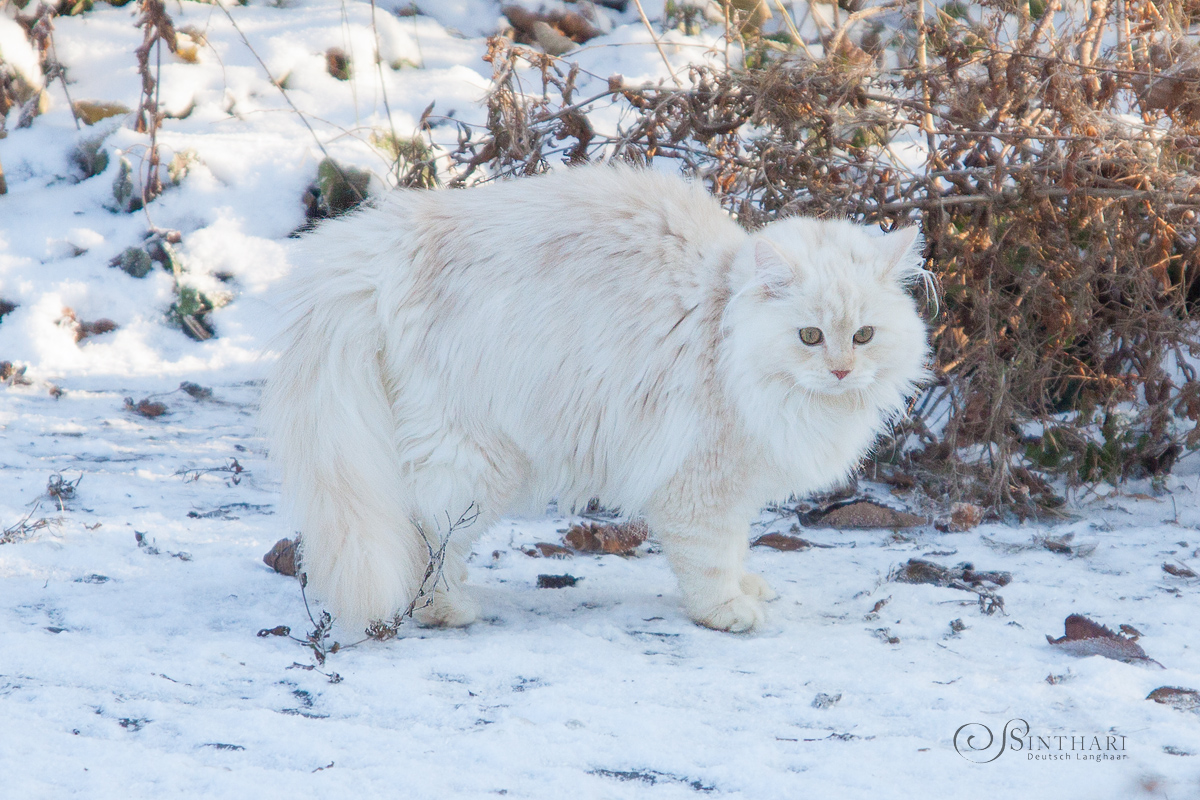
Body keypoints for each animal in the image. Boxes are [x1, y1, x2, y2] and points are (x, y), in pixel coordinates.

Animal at [262, 167, 931, 633]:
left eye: (864, 336)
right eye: (810, 336)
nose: (842, 371)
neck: (725, 328)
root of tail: (386, 239)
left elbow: (739, 549)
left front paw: (748, 586)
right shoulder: (701, 483)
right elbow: (710, 560)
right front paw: (727, 611)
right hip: (475, 460)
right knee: (429, 534)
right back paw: (444, 609)